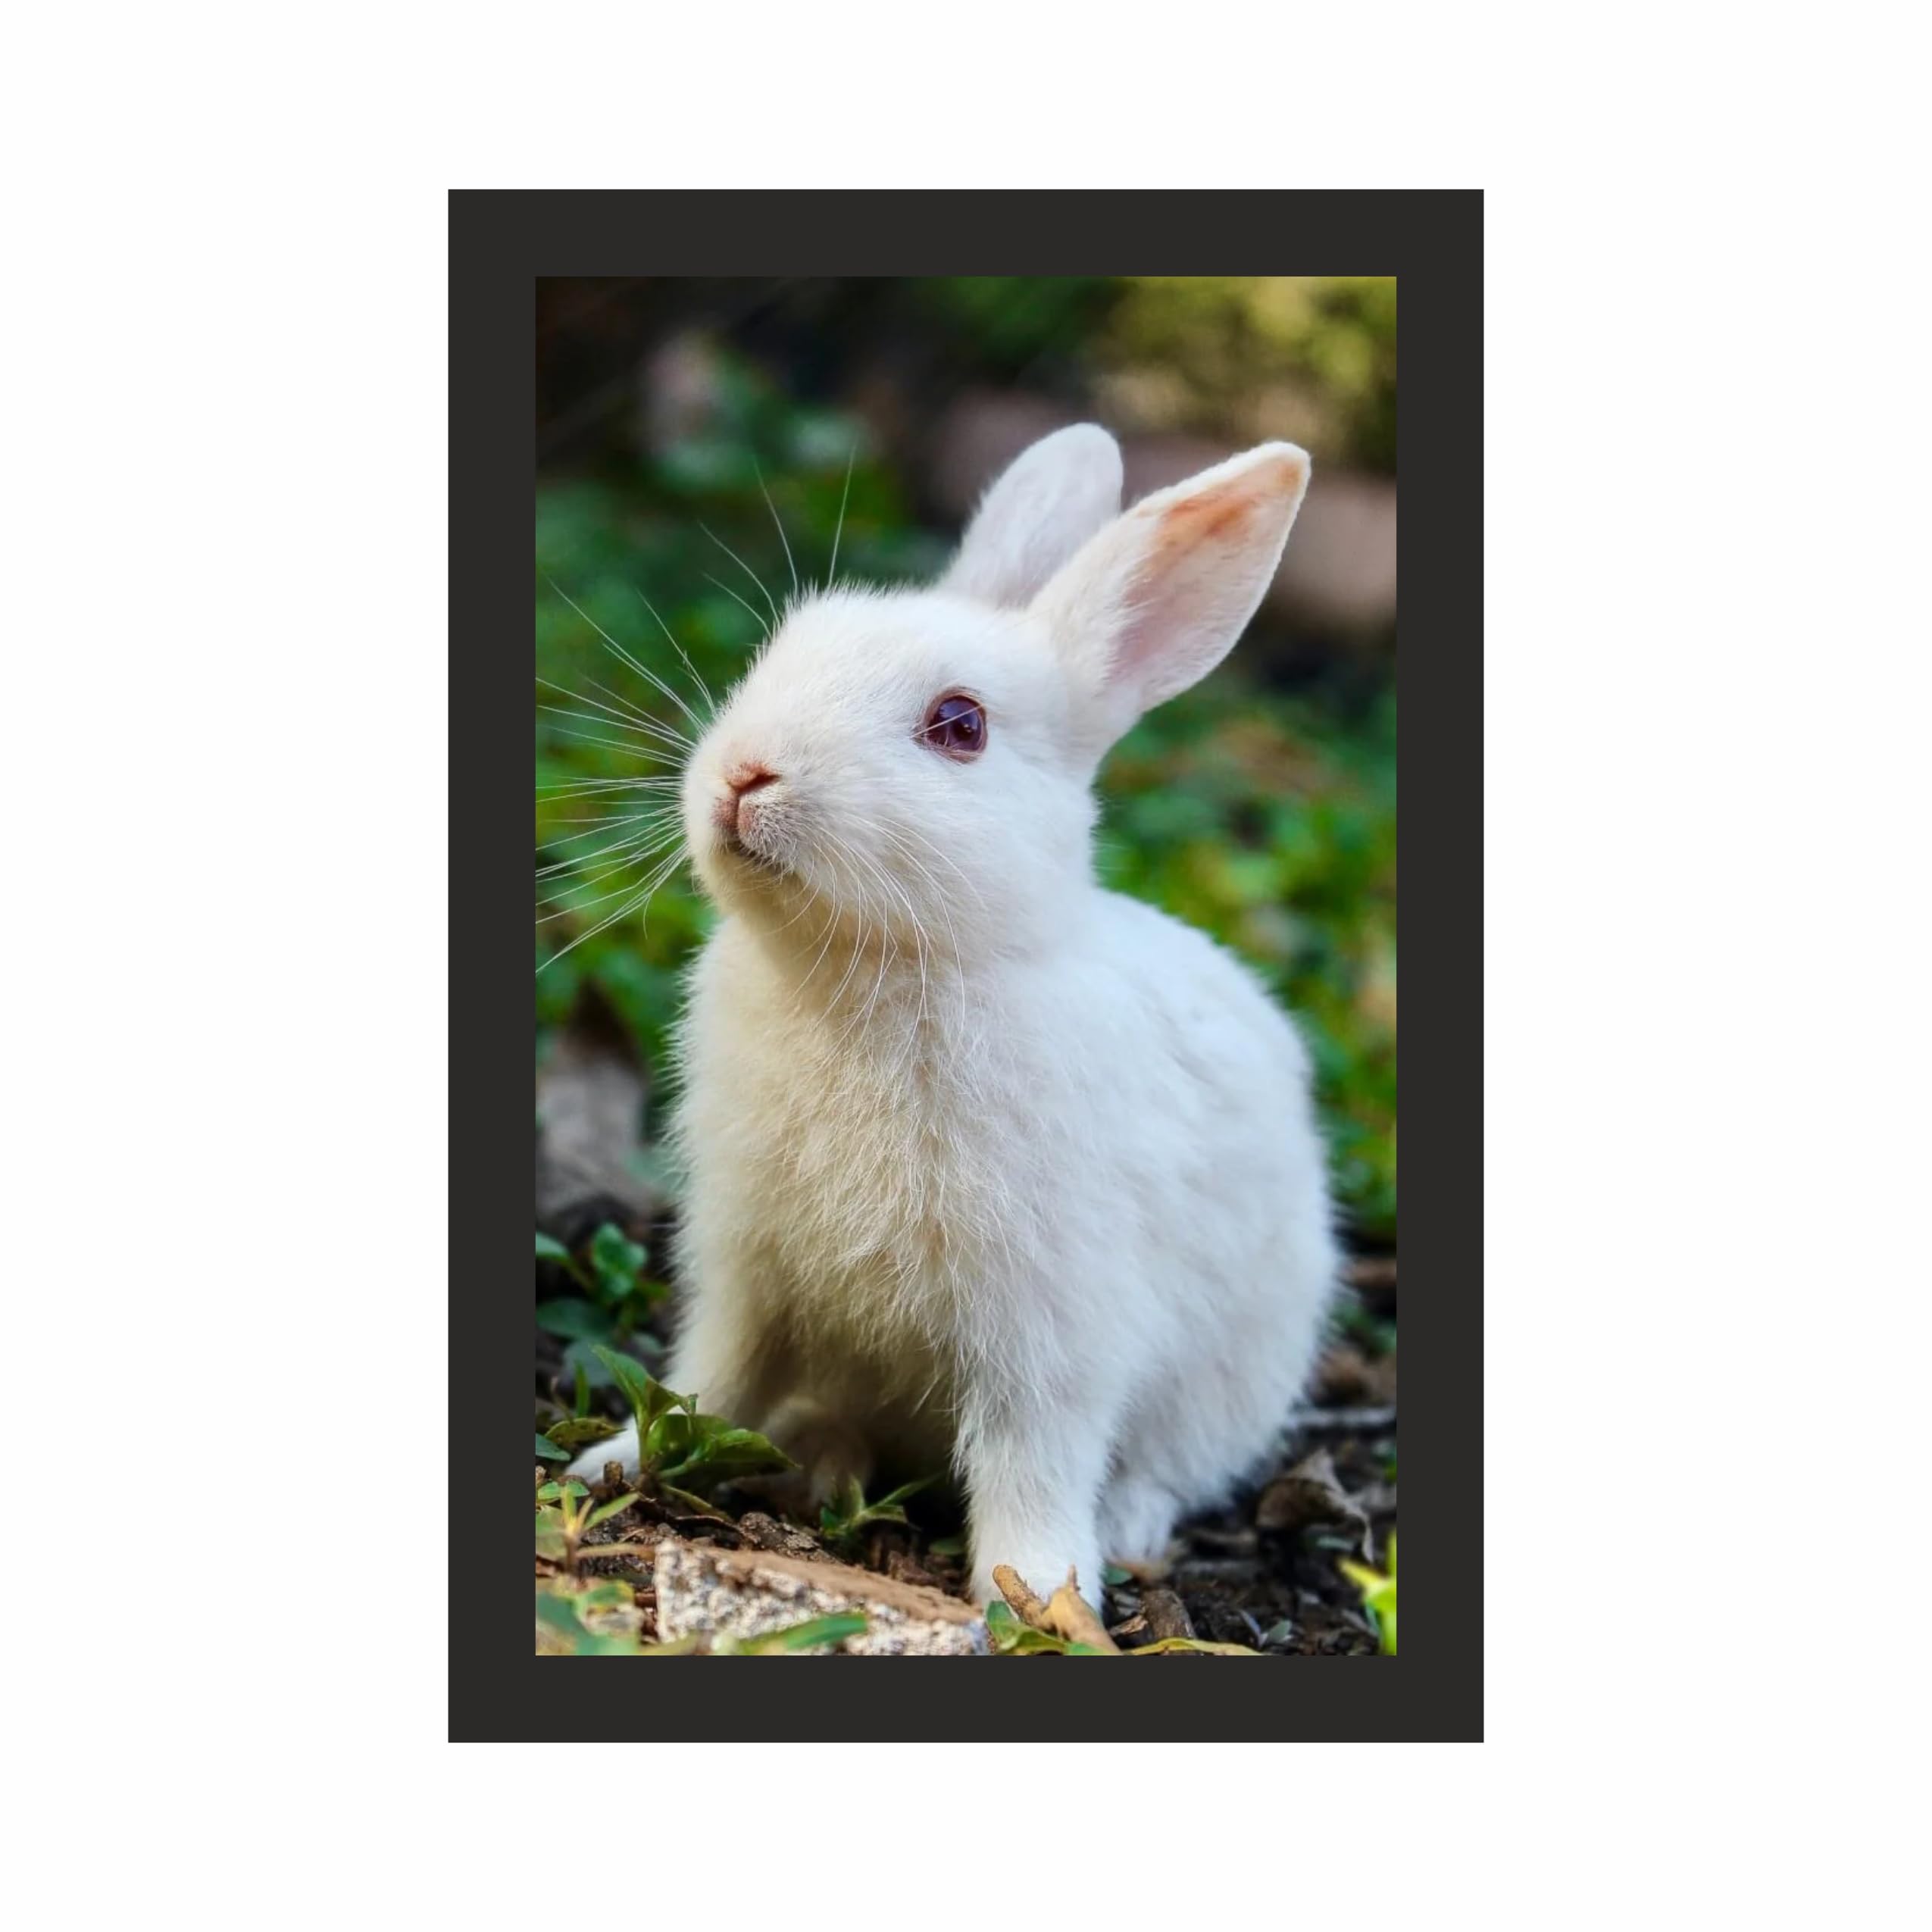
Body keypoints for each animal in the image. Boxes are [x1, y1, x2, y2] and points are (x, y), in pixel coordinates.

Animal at [568, 425, 1340, 1614]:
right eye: (781, 650)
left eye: (960, 726)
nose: (744, 774)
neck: (876, 970)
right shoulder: (745, 1267)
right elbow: (711, 1375)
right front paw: (614, 1461)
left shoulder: (1049, 1322)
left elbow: (1034, 1453)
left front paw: (1038, 1593)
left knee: (1167, 1465)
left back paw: (1124, 1528)